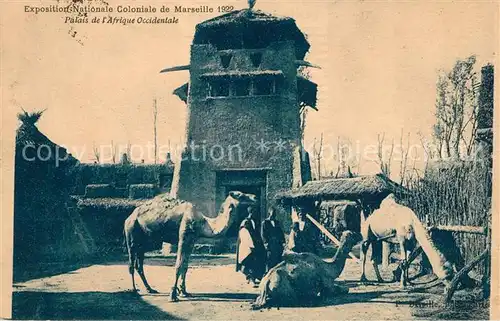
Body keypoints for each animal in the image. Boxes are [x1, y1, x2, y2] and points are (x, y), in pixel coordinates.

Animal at [123, 190, 256, 300]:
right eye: (240, 195)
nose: (255, 197)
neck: (205, 223)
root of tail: (128, 217)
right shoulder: (184, 236)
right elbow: (178, 265)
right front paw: (173, 294)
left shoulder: (192, 240)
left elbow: (185, 266)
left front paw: (184, 292)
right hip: (131, 232)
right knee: (131, 263)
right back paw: (135, 290)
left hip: (144, 242)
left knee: (139, 265)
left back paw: (150, 289)